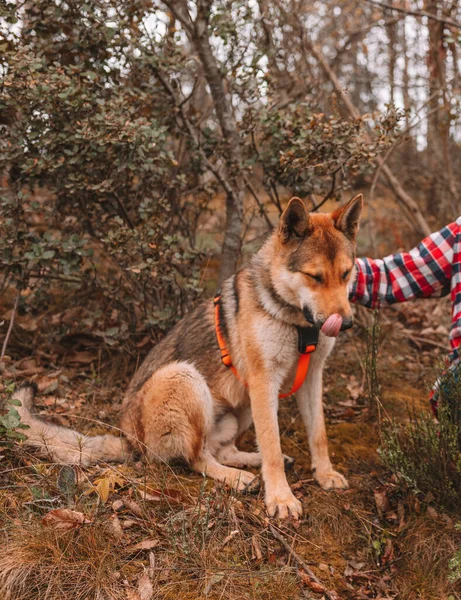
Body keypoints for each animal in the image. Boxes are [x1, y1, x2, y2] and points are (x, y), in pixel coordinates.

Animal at [15, 195, 362, 516]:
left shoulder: (310, 378)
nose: (347, 324)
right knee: (198, 459)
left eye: (346, 273)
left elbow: (318, 434)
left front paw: (324, 474)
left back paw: (248, 464)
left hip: (242, 407)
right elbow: (272, 447)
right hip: (185, 377)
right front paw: (280, 498)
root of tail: (129, 438)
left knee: (220, 451)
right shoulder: (264, 383)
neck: (295, 321)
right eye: (315, 277)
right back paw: (237, 478)